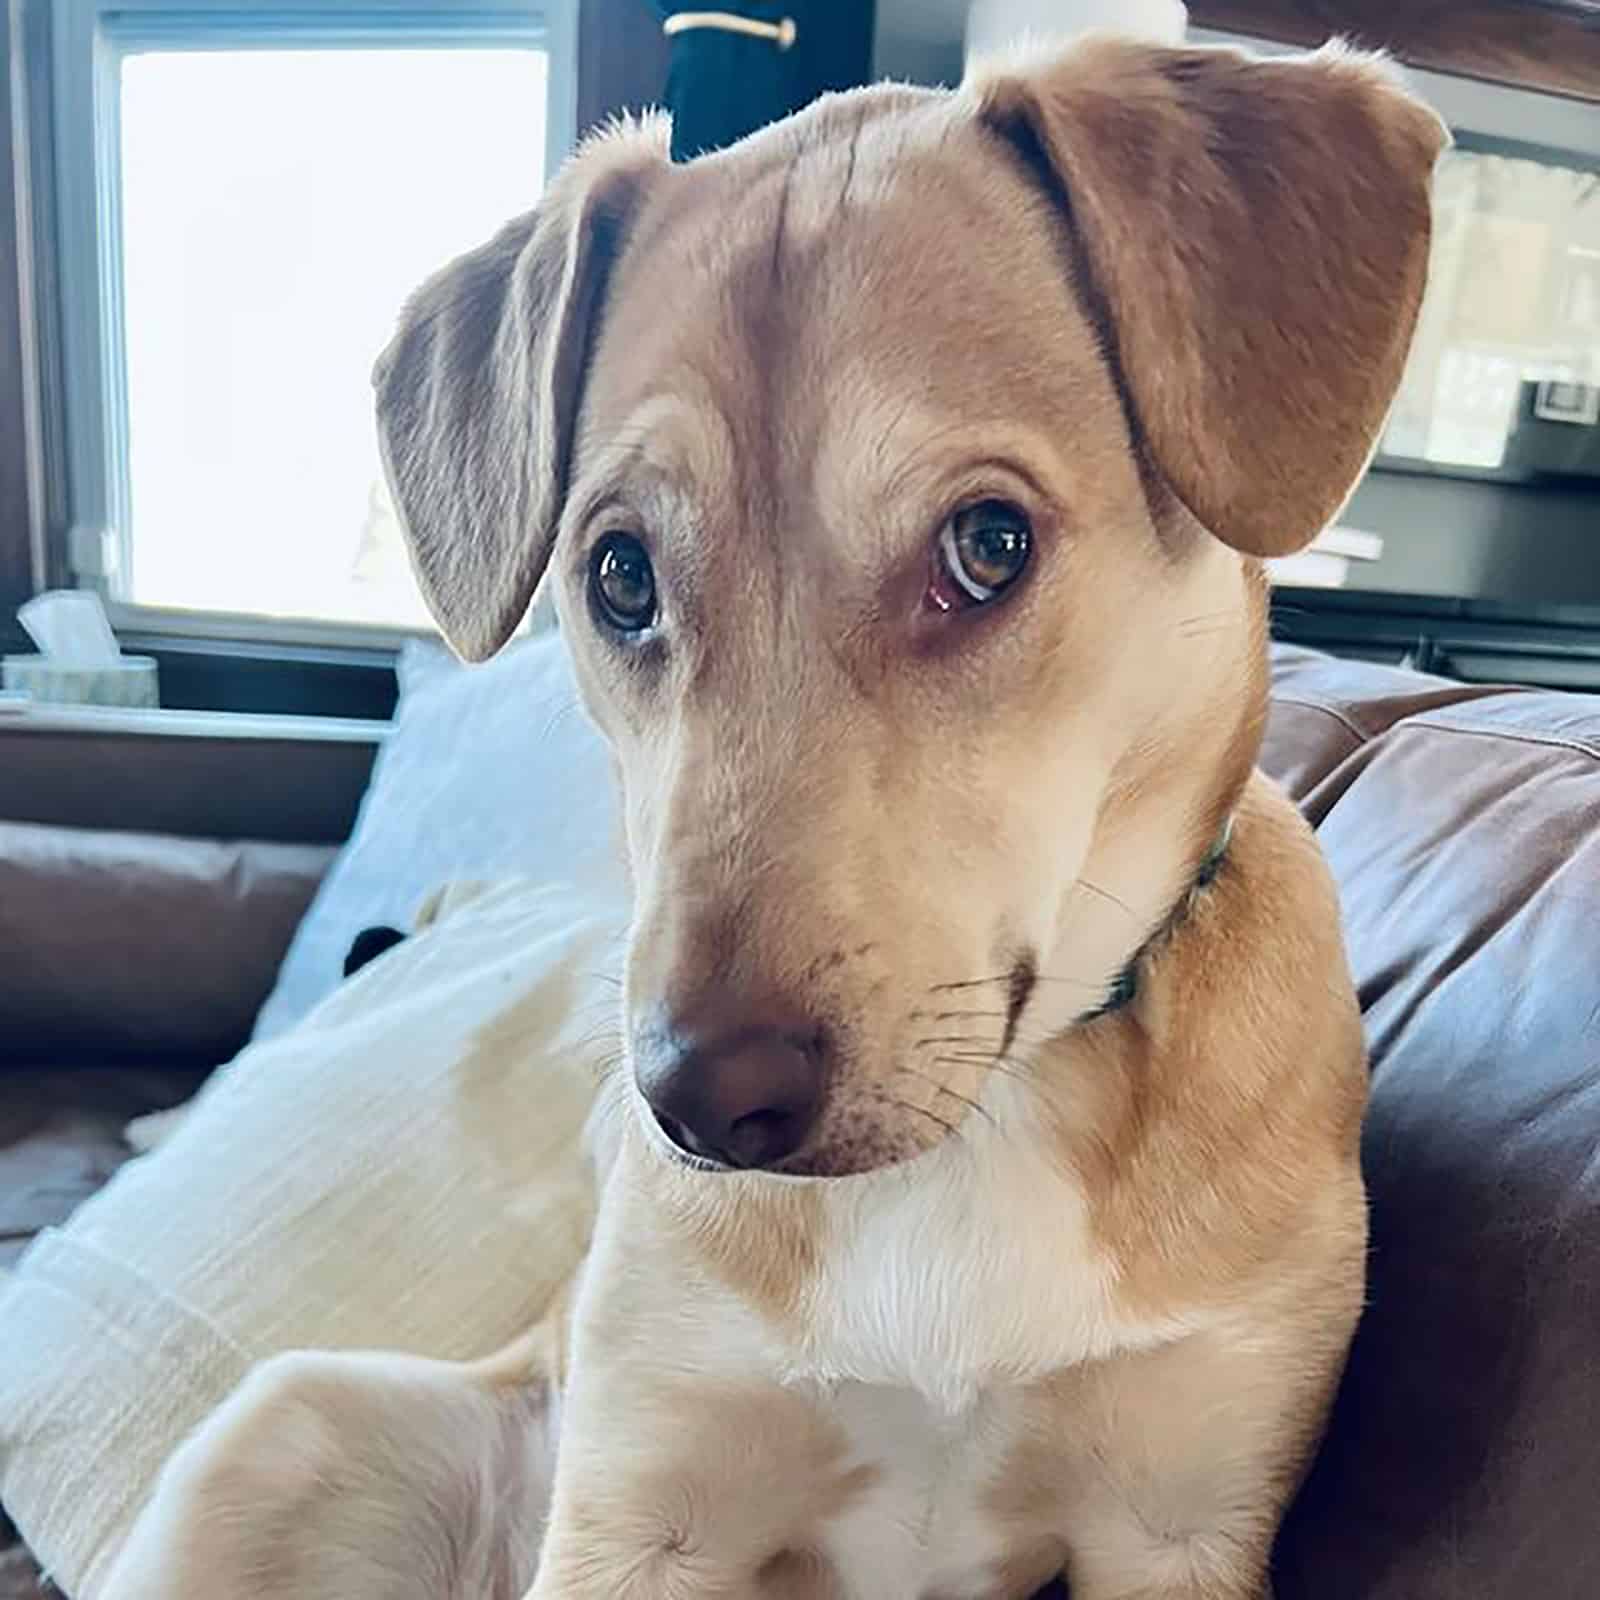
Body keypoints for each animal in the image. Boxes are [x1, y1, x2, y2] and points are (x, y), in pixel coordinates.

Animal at [103, 37, 1452, 1600]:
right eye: (620, 575)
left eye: (988, 545)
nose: (699, 1103)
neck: (977, 1131)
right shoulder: (643, 1509)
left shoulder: (1178, 1528)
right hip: (278, 1427)